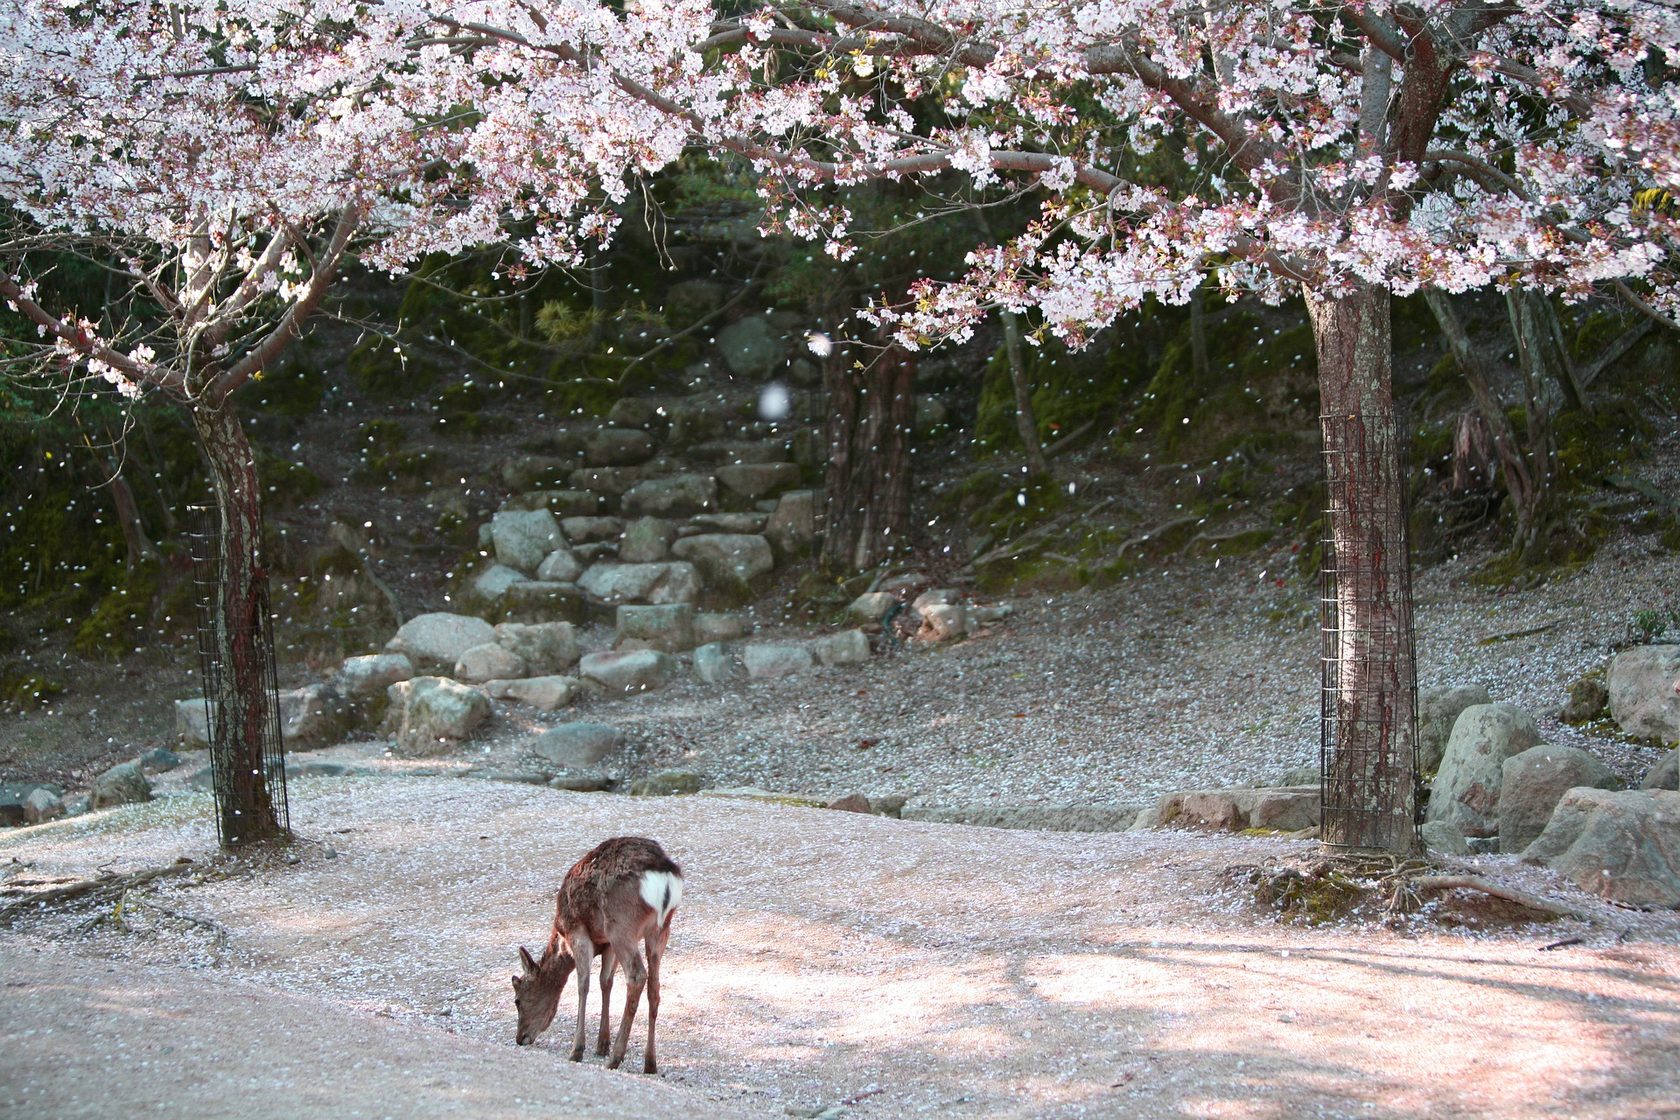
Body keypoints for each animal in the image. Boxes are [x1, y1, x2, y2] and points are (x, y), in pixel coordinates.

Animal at [510, 836, 682, 1074]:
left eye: (517, 1000)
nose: (520, 1038)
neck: (561, 939)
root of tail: (665, 876)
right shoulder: (606, 943)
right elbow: (605, 981)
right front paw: (601, 1045)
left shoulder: (578, 932)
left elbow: (583, 984)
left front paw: (577, 1050)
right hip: (660, 930)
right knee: (654, 987)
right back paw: (650, 1063)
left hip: (621, 925)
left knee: (637, 976)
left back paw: (615, 1058)